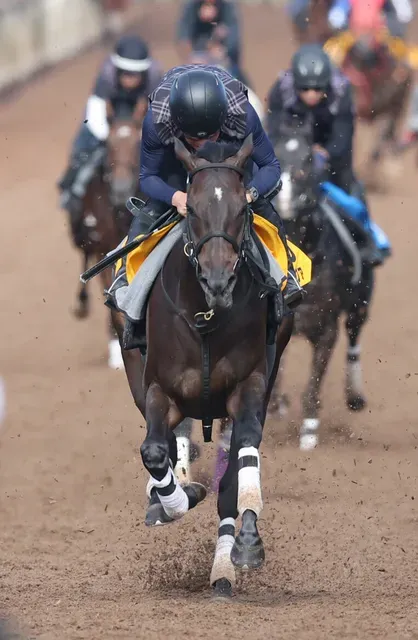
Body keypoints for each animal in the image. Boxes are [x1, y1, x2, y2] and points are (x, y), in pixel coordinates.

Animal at [112, 136, 292, 600]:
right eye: (191, 209)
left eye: (242, 209)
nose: (217, 280)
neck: (205, 317)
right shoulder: (159, 388)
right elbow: (155, 450)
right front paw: (177, 499)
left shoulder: (250, 385)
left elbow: (242, 459)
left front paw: (246, 546)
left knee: (231, 477)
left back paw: (223, 570)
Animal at [272, 120, 376, 450]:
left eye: (308, 161)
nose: (283, 196)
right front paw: (277, 405)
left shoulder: (326, 327)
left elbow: (314, 383)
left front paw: (308, 434)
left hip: (361, 302)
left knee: (354, 338)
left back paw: (355, 396)